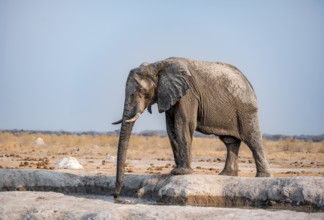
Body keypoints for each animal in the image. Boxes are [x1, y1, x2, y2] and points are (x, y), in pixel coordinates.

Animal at [112, 56, 272, 198]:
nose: (116, 195)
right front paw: (175, 171)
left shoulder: (188, 94)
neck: (156, 65)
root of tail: (247, 81)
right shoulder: (170, 95)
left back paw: (263, 177)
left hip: (245, 108)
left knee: (252, 139)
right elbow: (171, 128)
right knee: (230, 141)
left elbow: (183, 123)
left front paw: (180, 173)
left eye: (141, 92)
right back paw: (226, 175)